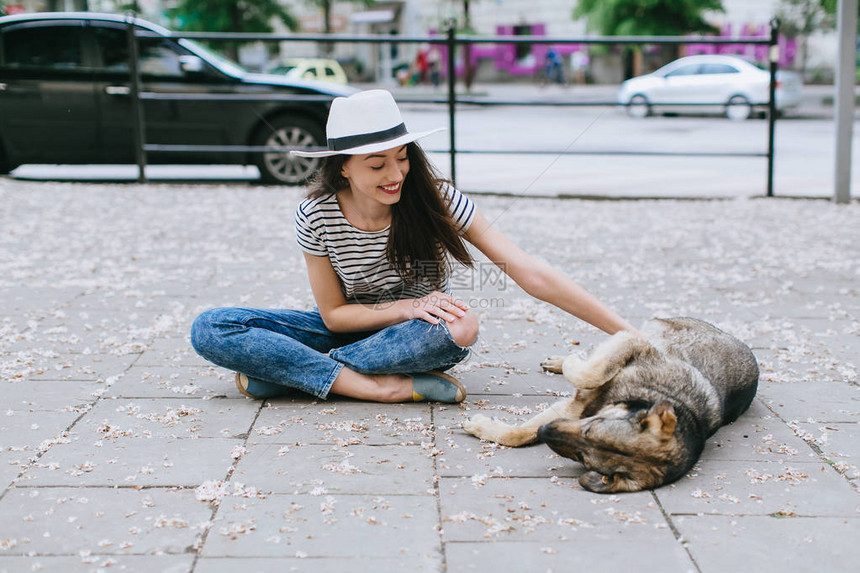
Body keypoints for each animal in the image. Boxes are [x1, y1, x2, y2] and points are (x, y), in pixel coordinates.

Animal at [464, 318, 760, 492]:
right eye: (592, 428)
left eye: (584, 457)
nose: (544, 432)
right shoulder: (633, 345)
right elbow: (591, 372)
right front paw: (571, 363)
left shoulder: (572, 411)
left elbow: (519, 435)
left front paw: (483, 427)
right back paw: (564, 360)